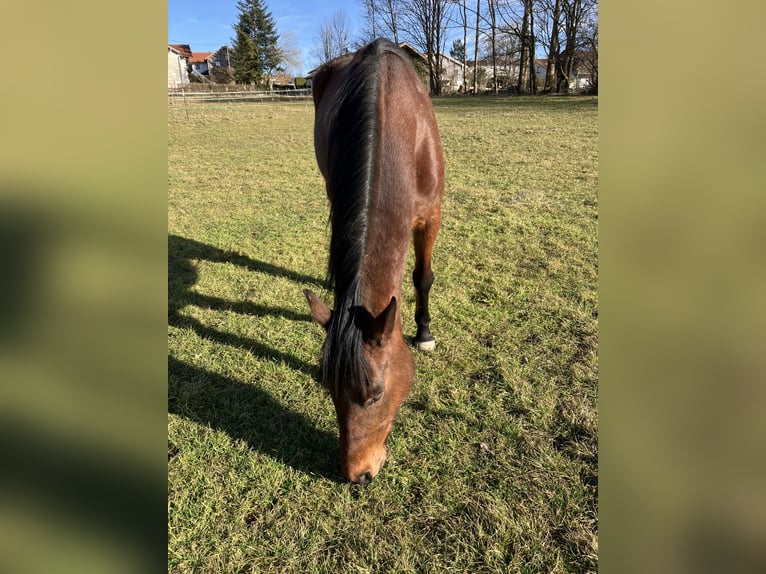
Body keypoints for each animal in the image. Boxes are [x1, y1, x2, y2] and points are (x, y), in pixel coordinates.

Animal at [304, 38, 448, 486]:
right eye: (329, 390)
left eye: (375, 395)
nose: (358, 475)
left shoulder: (431, 216)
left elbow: (422, 277)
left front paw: (424, 333)